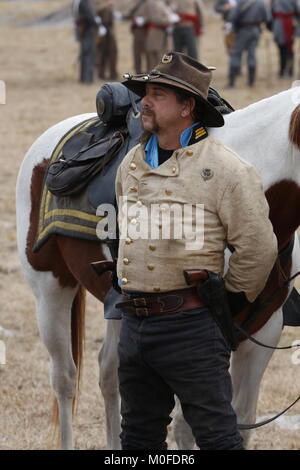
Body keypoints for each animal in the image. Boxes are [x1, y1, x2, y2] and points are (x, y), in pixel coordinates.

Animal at [15, 83, 300, 448]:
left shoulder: (263, 329)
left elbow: (243, 420)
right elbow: (186, 425)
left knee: (109, 372)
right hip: (50, 288)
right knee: (65, 379)